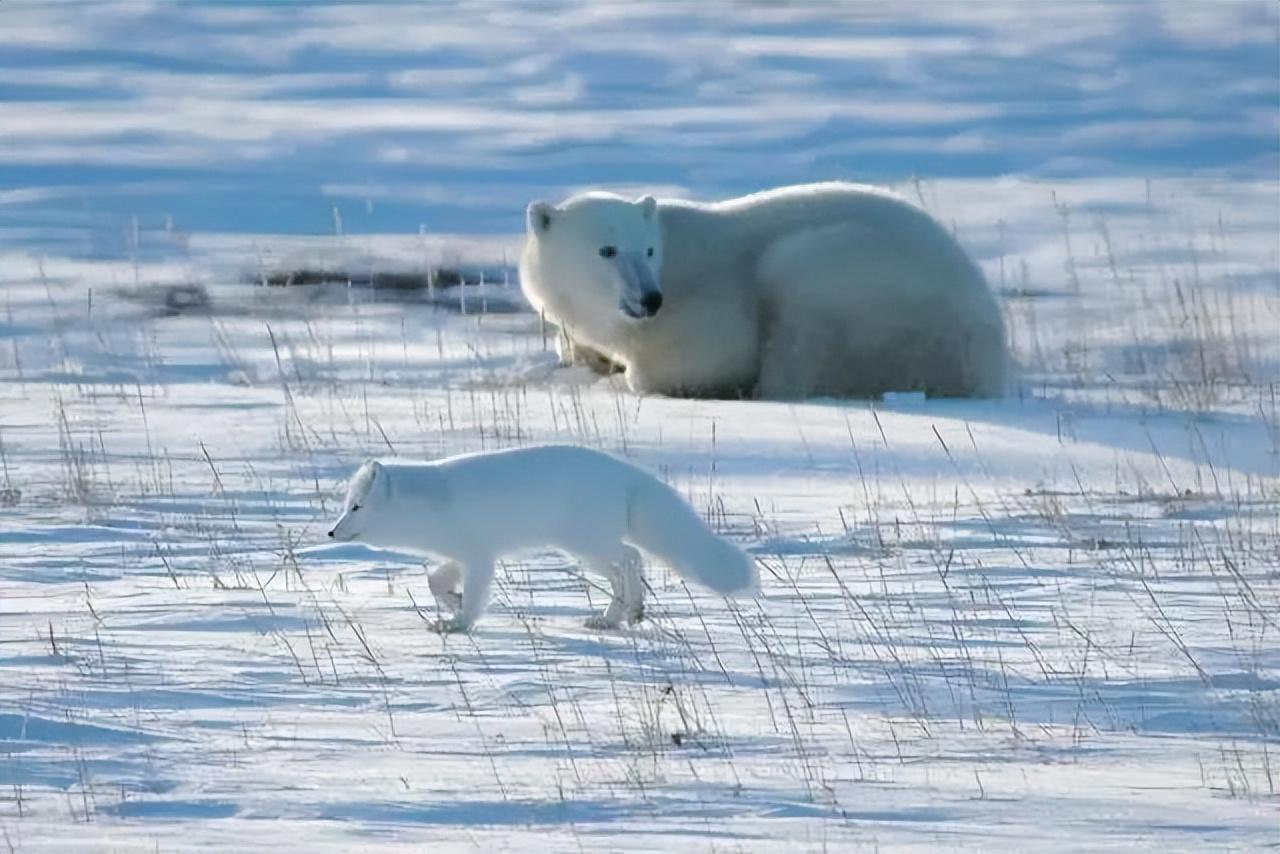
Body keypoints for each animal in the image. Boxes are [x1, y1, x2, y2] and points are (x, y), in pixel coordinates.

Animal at [325, 448, 757, 635]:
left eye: (357, 507)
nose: (331, 532)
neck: (433, 504)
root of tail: (628, 473)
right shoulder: (459, 555)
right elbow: (435, 581)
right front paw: (453, 603)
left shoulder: (481, 557)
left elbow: (474, 594)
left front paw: (460, 622)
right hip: (584, 549)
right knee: (626, 564)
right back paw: (614, 617)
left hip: (586, 544)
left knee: (632, 557)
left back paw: (628, 611)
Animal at [514, 181, 1003, 402]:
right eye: (607, 250)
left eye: (649, 249)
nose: (651, 299)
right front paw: (585, 360)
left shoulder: (704, 304)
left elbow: (695, 359)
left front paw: (623, 376)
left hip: (853, 280)